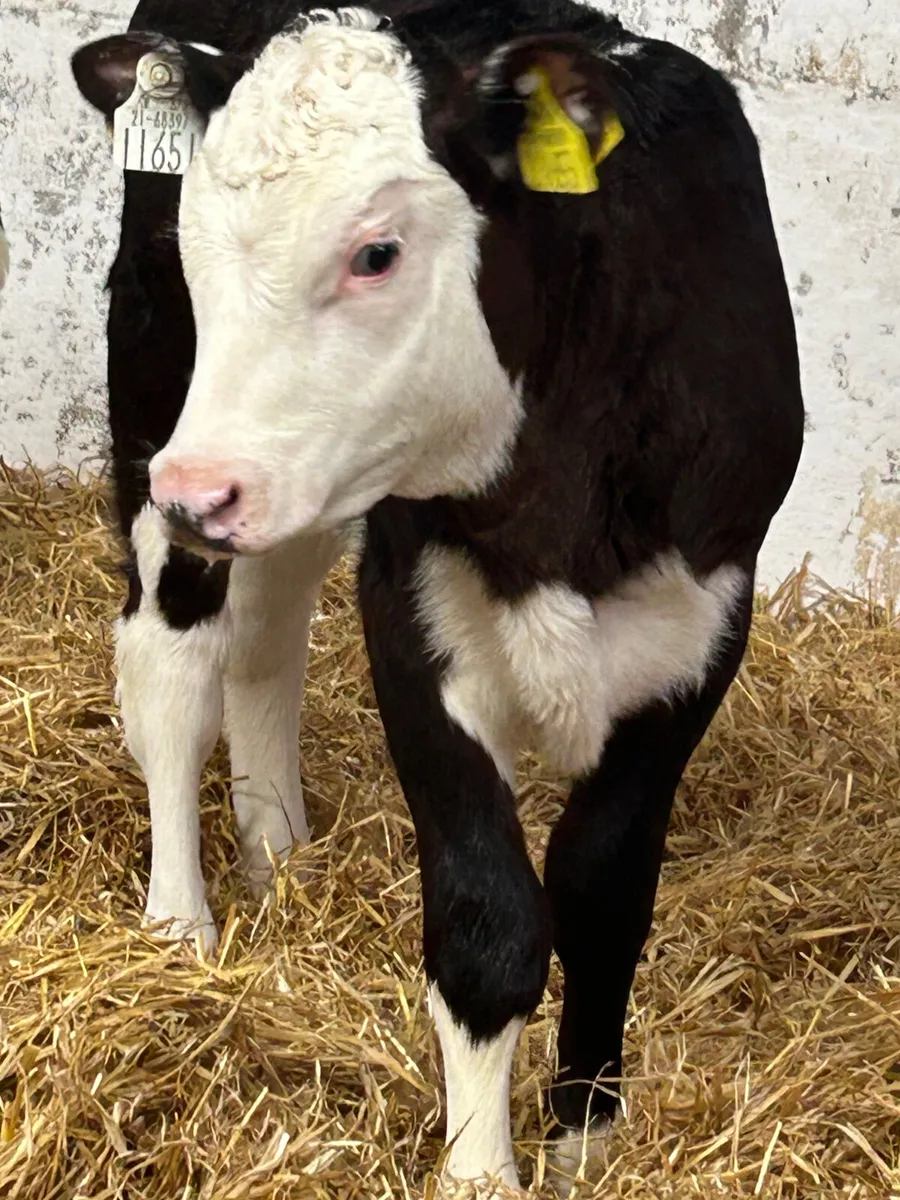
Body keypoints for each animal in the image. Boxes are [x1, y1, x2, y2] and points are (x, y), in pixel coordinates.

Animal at [71, 2, 804, 1191]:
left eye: (377, 252)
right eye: (193, 242)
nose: (201, 491)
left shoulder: (705, 622)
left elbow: (605, 894)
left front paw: (584, 1137)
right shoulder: (412, 615)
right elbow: (487, 920)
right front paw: (480, 1168)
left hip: (293, 484)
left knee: (266, 636)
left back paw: (279, 853)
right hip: (162, 411)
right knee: (172, 668)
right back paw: (181, 923)